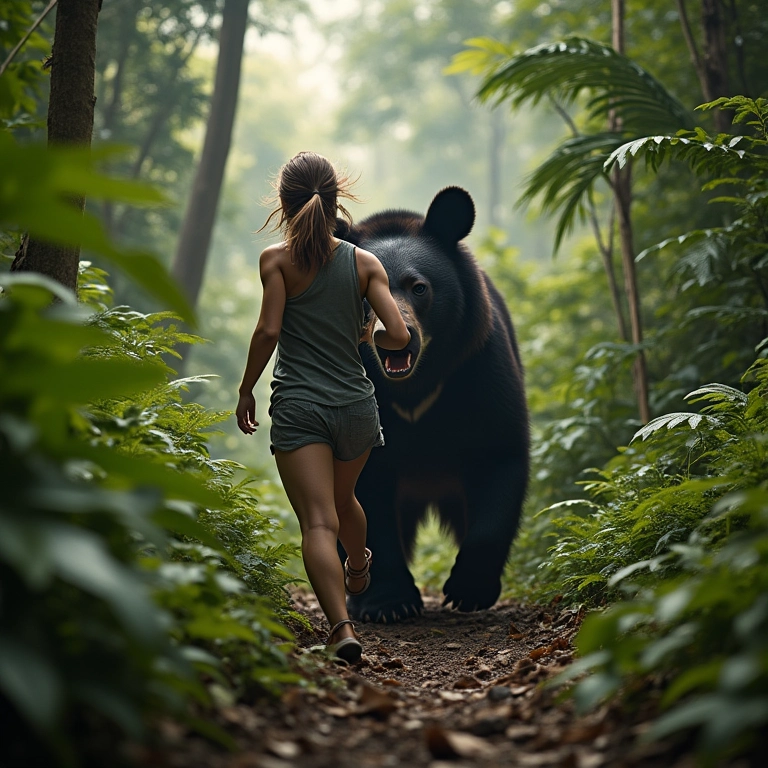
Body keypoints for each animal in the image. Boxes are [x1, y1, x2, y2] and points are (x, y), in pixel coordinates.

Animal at [336, 186, 530, 623]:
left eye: (418, 287)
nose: (395, 335)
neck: (413, 388)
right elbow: (362, 490)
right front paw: (389, 603)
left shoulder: (476, 366)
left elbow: (499, 450)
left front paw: (468, 590)